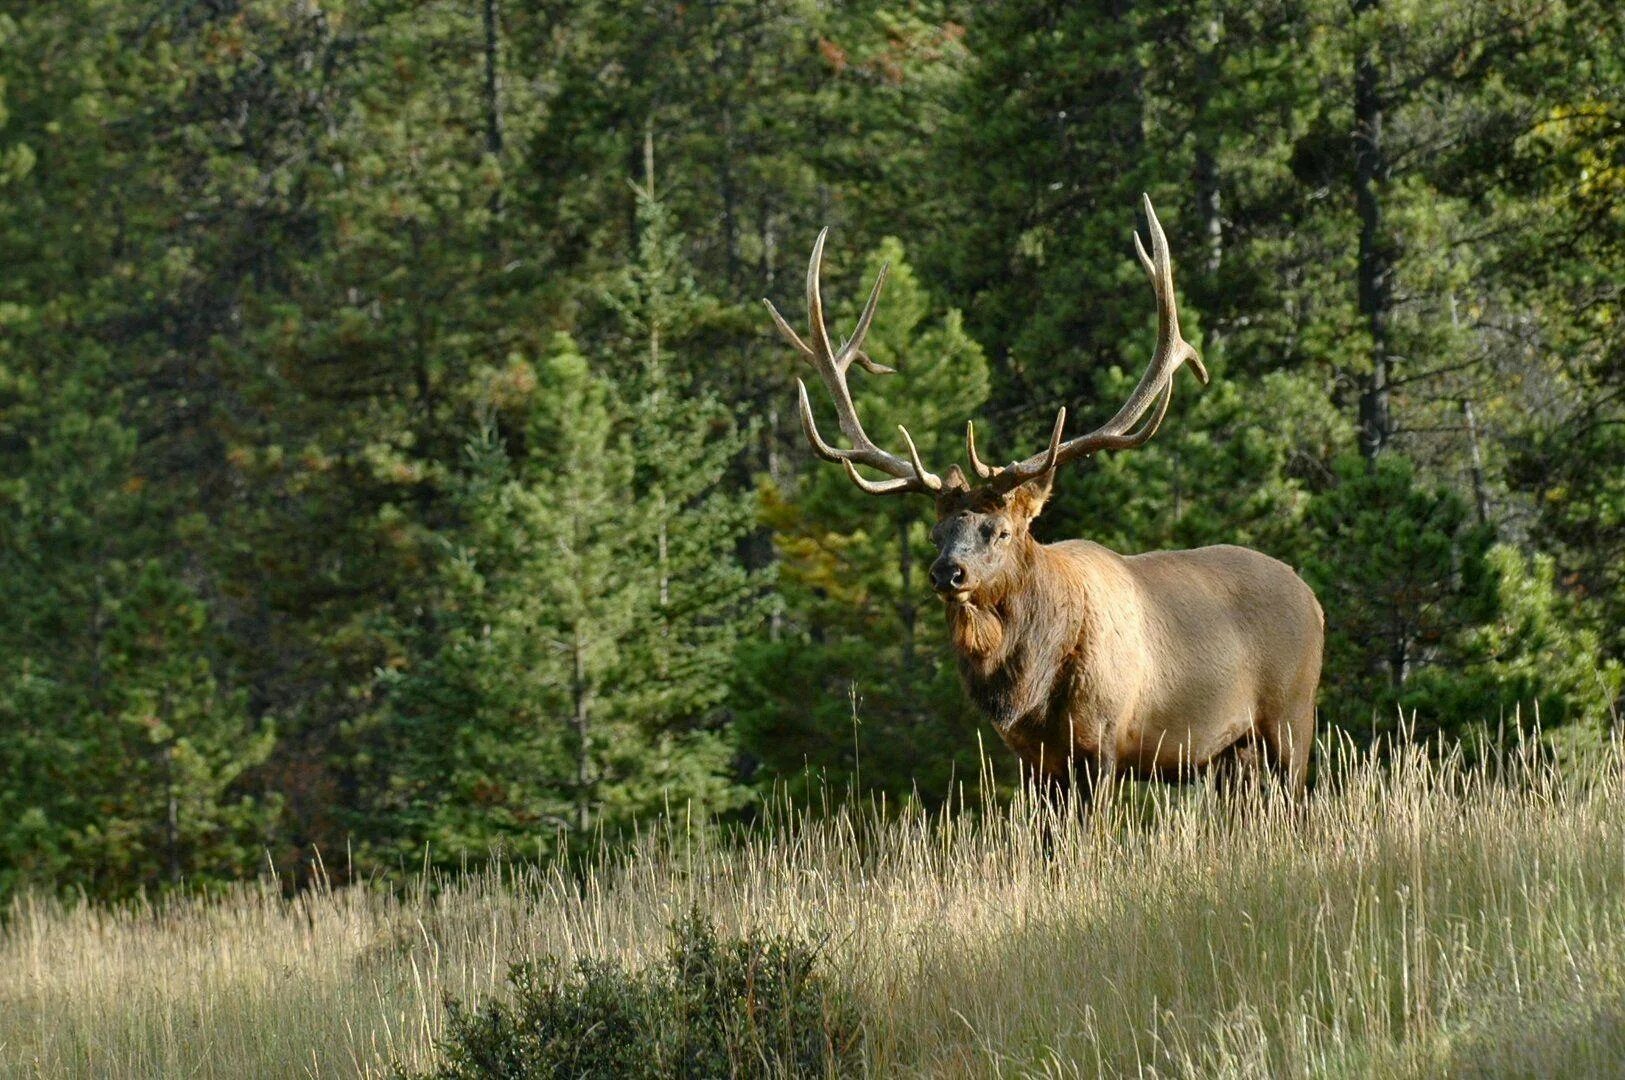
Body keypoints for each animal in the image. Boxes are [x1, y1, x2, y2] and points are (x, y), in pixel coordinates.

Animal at [763, 195, 1319, 799]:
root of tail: (1313, 599)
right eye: (936, 532)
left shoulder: (1104, 738)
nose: (947, 573)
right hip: (1229, 755)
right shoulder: (1032, 758)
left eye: (1001, 530)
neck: (1032, 689)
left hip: (1292, 718)